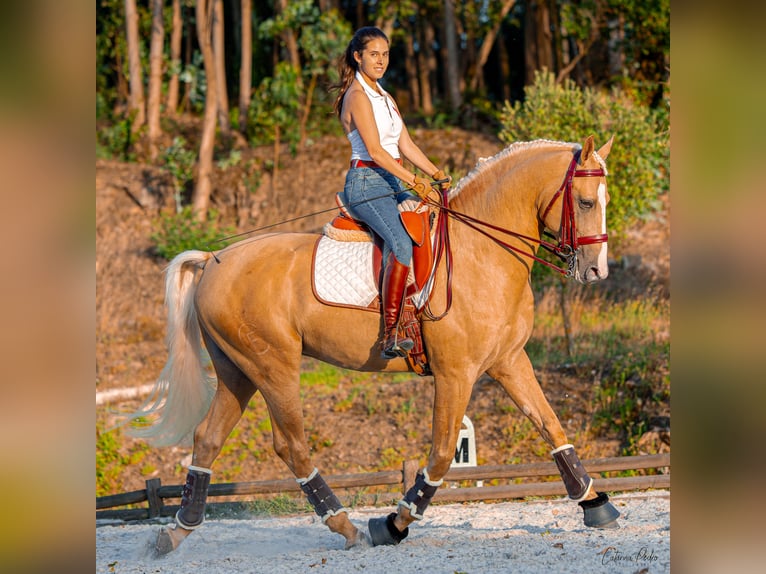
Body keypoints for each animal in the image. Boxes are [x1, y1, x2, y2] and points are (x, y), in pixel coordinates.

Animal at [132, 135, 620, 552]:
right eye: (586, 201)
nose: (597, 271)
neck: (481, 251)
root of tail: (213, 259)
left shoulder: (509, 361)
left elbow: (551, 426)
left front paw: (595, 504)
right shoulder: (456, 373)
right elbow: (442, 454)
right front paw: (394, 523)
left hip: (238, 371)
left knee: (208, 439)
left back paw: (175, 533)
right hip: (274, 367)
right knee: (291, 445)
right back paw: (347, 527)